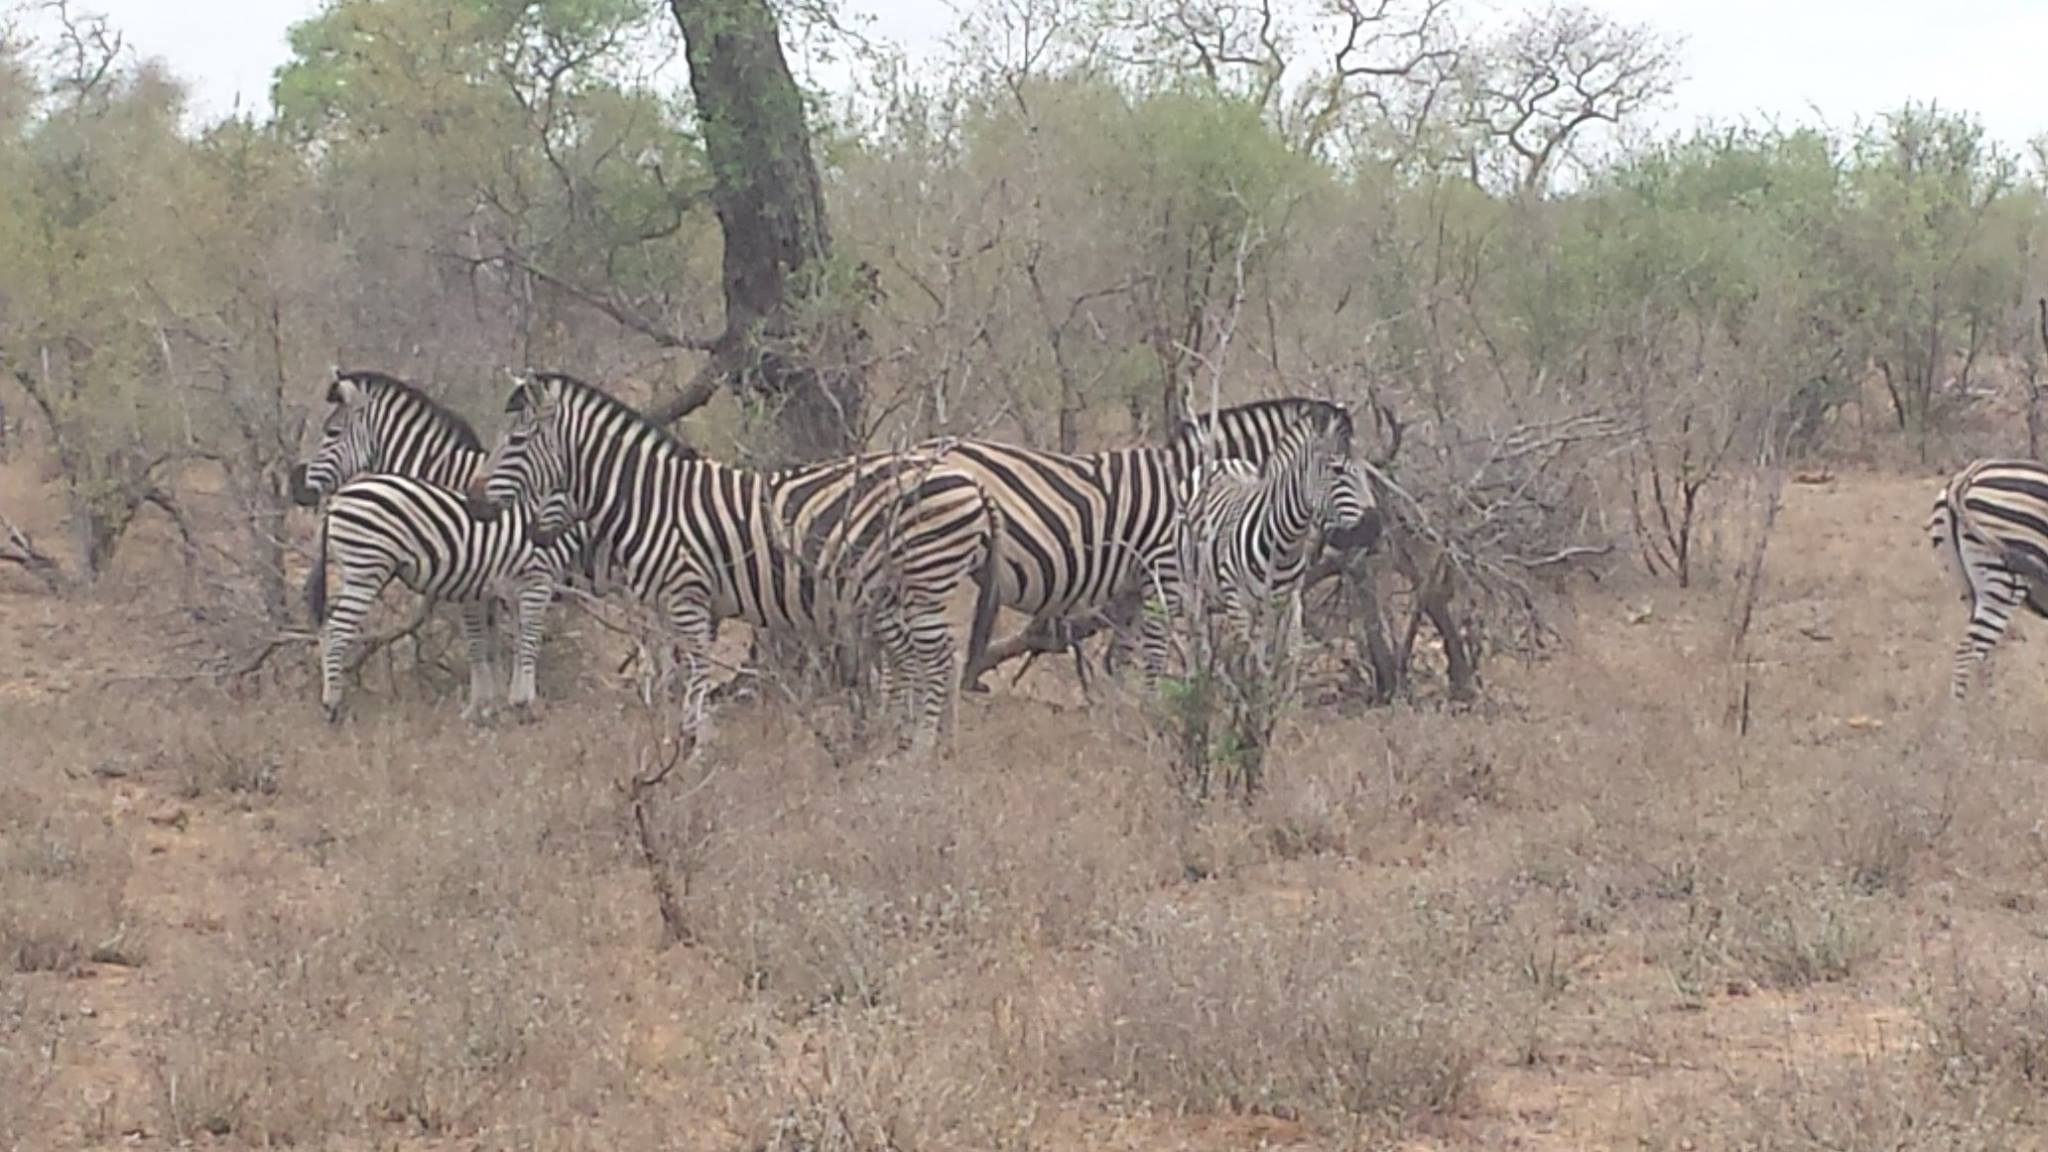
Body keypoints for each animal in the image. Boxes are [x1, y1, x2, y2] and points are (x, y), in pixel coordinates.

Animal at [290, 368, 586, 720]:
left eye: (332, 432)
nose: (297, 488)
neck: (444, 474)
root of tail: (336, 502)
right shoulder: (481, 581)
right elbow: (483, 642)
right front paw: (486, 705)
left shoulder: (482, 579)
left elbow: (488, 641)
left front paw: (490, 705)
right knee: (334, 628)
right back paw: (333, 704)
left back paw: (333, 704)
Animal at [466, 371, 1002, 754]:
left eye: (516, 442)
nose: (473, 500)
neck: (650, 501)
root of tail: (972, 482)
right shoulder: (672, 605)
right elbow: (671, 672)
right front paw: (681, 738)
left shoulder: (686, 595)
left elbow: (694, 669)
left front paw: (694, 745)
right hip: (895, 591)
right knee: (925, 657)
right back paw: (917, 742)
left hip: (923, 582)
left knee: (938, 656)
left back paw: (923, 749)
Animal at [934, 396, 1379, 692]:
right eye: (1339, 471)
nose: (1373, 530)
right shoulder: (1163, 581)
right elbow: (1155, 660)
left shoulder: (1131, 591)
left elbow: (1121, 661)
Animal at [1928, 458, 2048, 699]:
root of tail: (1965, 477)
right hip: (2001, 585)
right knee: (1967, 653)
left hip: (1968, 587)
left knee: (1983, 654)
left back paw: (1990, 706)